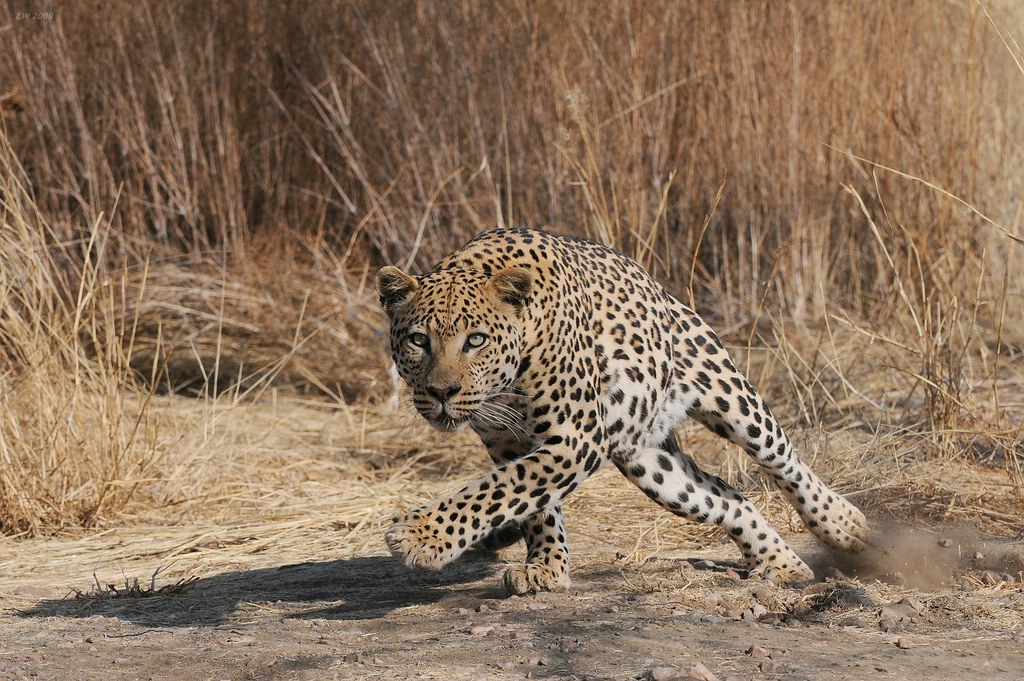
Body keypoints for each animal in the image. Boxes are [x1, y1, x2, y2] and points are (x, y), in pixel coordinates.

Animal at [376, 227, 870, 595]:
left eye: (475, 340)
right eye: (419, 341)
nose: (442, 391)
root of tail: (660, 290)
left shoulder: (574, 437)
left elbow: (498, 490)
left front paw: (421, 536)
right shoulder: (510, 443)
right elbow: (531, 502)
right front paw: (547, 567)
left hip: (729, 393)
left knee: (784, 461)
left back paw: (845, 525)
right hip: (652, 466)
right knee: (730, 498)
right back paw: (782, 564)